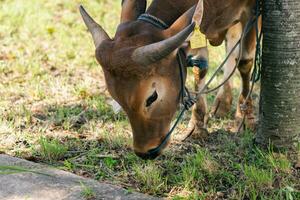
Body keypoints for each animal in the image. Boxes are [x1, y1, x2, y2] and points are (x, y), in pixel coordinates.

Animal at [80, 0, 260, 159]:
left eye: (152, 97)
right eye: (117, 99)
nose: (144, 152)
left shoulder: (252, 11)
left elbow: (245, 61)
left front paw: (246, 117)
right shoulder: (199, 28)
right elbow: (200, 68)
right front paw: (197, 126)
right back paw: (223, 102)